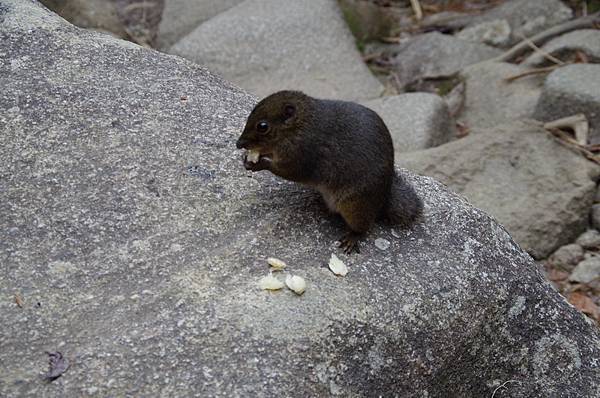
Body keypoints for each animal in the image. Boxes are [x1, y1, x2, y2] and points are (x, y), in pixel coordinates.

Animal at [234, 90, 422, 253]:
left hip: (355, 206)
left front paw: (259, 164)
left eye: (262, 126)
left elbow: (289, 171)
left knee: (364, 227)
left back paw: (353, 237)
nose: (238, 143)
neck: (300, 126)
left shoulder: (304, 155)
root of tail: (384, 199)